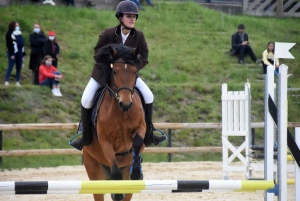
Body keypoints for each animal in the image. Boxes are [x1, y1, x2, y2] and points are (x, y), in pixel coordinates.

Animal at [82, 44, 146, 201]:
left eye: (134, 72)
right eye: (115, 72)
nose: (126, 104)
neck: (121, 112)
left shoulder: (141, 127)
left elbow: (137, 142)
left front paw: (136, 172)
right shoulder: (106, 142)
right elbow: (115, 170)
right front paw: (116, 192)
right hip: (94, 171)